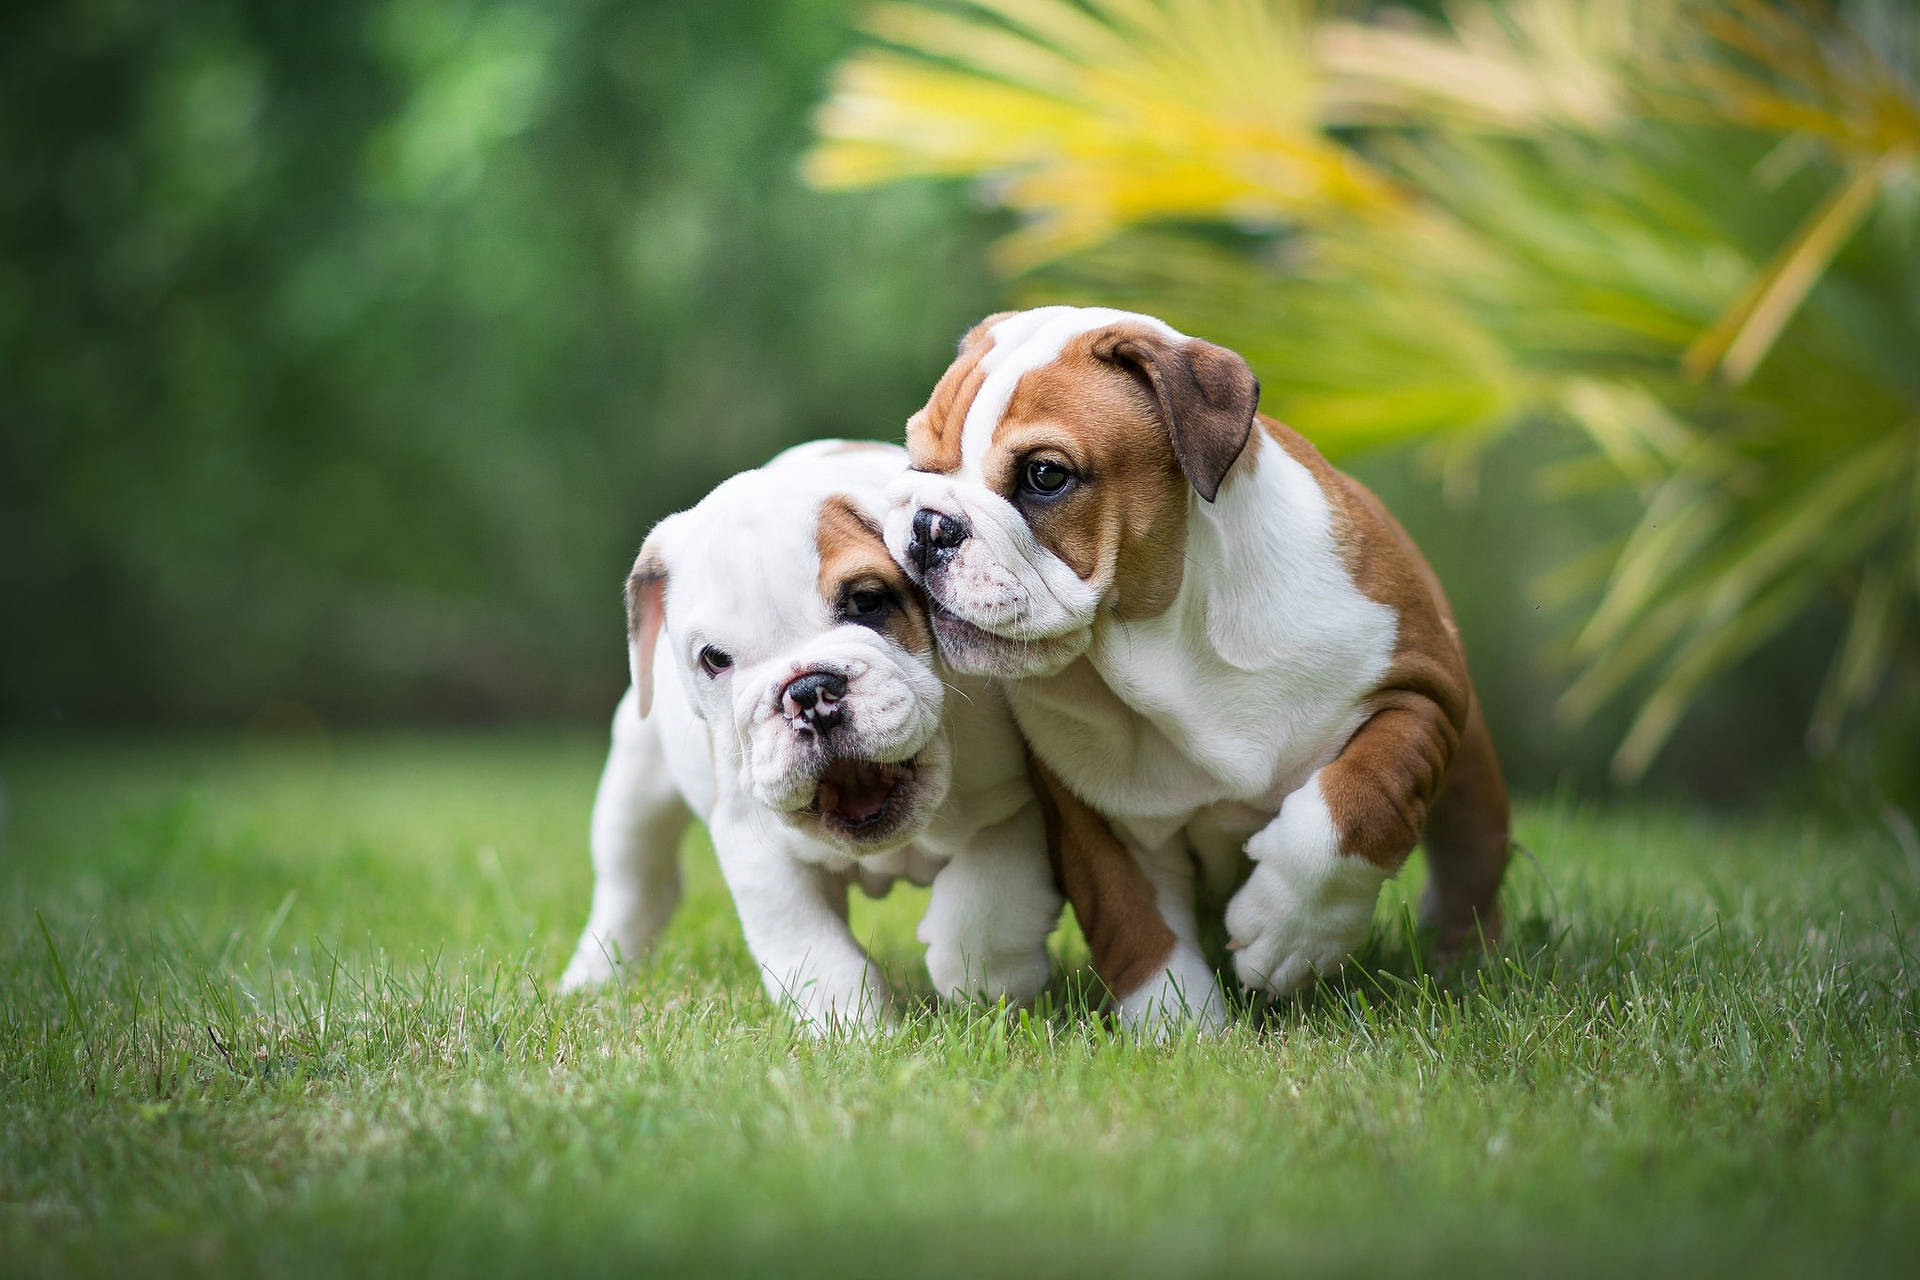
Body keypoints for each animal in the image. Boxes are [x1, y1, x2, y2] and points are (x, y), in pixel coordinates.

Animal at [887, 305, 1512, 1036]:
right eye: (917, 463)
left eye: (1045, 476)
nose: (928, 526)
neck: (1167, 650)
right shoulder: (1100, 824)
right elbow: (1138, 927)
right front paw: (1178, 1029)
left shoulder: (1416, 691)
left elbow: (1357, 801)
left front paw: (1288, 933)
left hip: (1471, 775)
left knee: (1470, 860)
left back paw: (1464, 961)